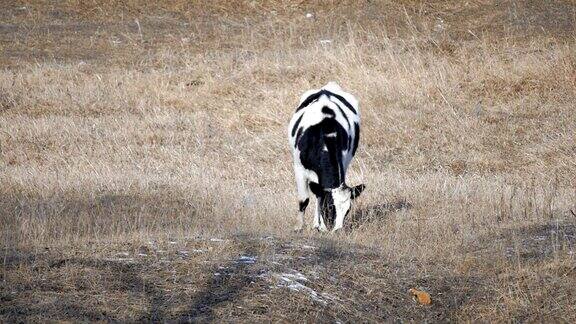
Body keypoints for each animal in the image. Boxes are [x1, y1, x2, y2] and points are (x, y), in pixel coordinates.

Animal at [288, 82, 364, 232]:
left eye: (348, 210)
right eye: (330, 207)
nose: (338, 230)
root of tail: (327, 88)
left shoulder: (342, 163)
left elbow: (319, 196)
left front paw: (320, 226)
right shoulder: (299, 168)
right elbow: (304, 200)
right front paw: (299, 227)